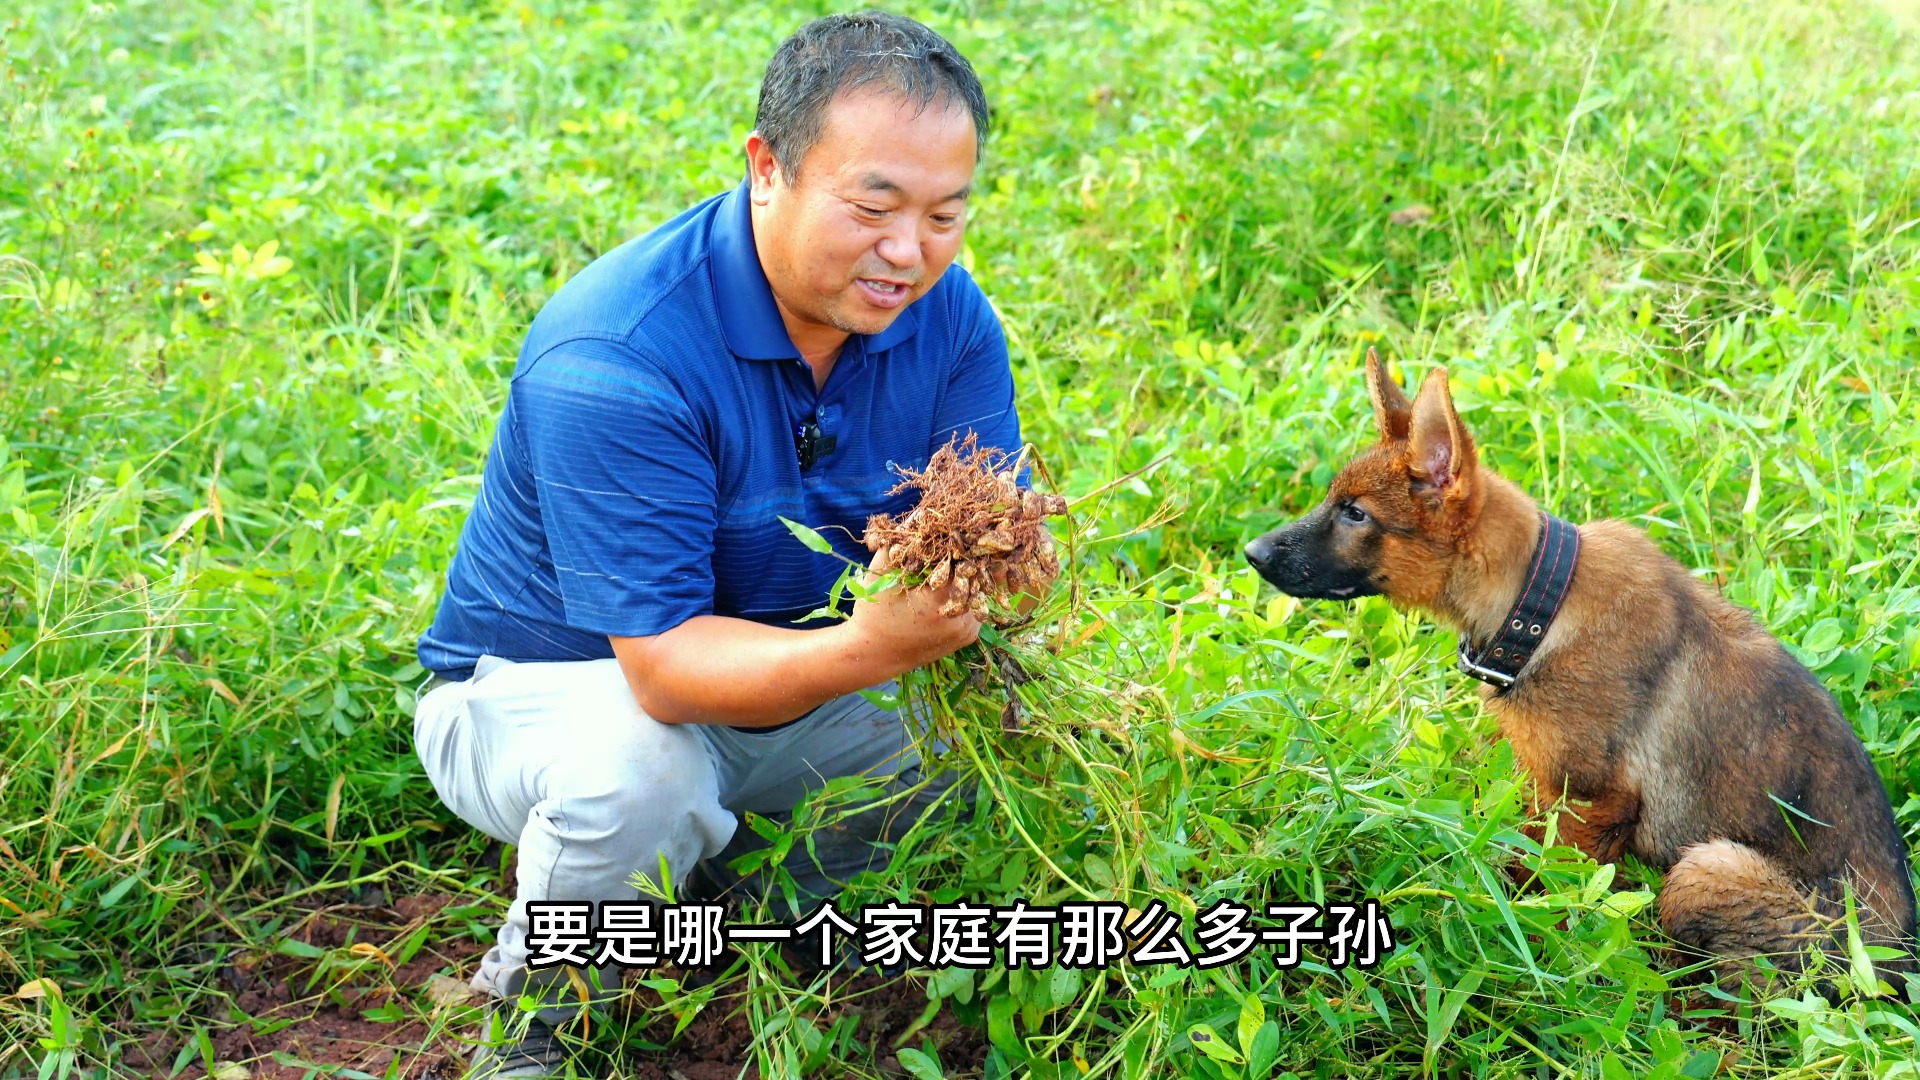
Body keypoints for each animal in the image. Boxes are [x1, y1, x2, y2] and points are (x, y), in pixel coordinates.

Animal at [1251, 349, 1912, 991]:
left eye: (1356, 515)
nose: (1251, 553)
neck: (1539, 602)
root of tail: (1896, 969)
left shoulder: (1589, 802)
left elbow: (1554, 891)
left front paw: (1534, 948)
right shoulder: (1543, 787)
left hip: (1705, 868)